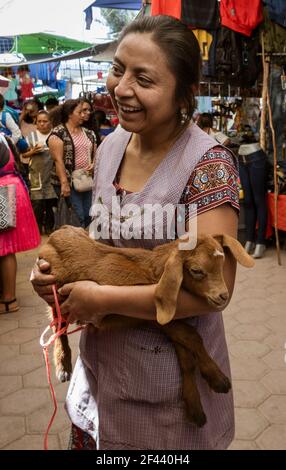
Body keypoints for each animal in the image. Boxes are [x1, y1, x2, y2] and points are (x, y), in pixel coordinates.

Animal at [38, 226, 255, 428]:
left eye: (222, 264)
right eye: (197, 271)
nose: (223, 296)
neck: (155, 271)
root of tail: (58, 232)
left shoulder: (168, 321)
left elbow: (186, 357)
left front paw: (195, 409)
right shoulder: (157, 317)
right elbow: (192, 335)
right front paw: (218, 379)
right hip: (55, 290)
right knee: (58, 323)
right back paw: (62, 364)